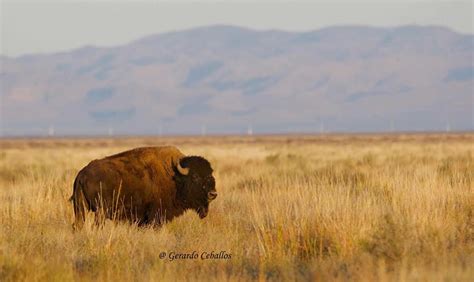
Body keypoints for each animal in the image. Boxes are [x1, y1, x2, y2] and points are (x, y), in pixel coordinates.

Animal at [70, 145, 217, 229]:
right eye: (195, 176)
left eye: (210, 174)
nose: (213, 194)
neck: (175, 176)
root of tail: (82, 174)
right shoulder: (156, 215)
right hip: (101, 210)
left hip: (80, 208)